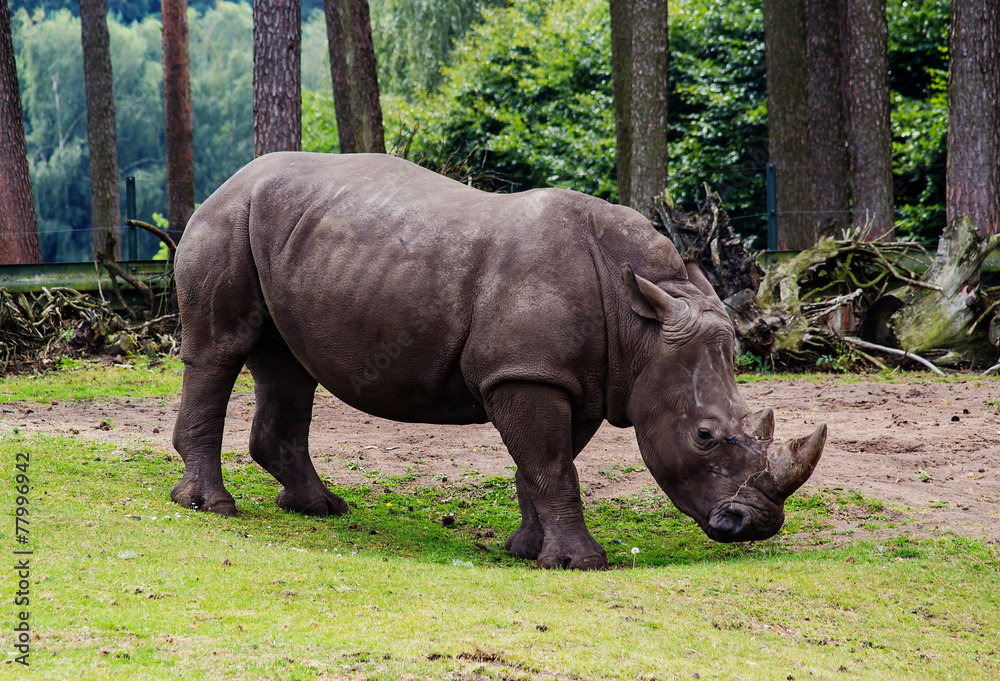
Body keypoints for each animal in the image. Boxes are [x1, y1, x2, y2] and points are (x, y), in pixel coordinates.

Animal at [171, 152, 825, 570]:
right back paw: (211, 507)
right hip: (227, 221)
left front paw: (528, 551)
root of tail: (228, 180)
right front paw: (580, 564)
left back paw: (321, 509)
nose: (755, 525)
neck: (641, 324)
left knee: (287, 366)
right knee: (218, 351)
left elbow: (545, 463)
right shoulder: (526, 372)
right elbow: (551, 464)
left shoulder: (572, 377)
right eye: (705, 436)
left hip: (286, 236)